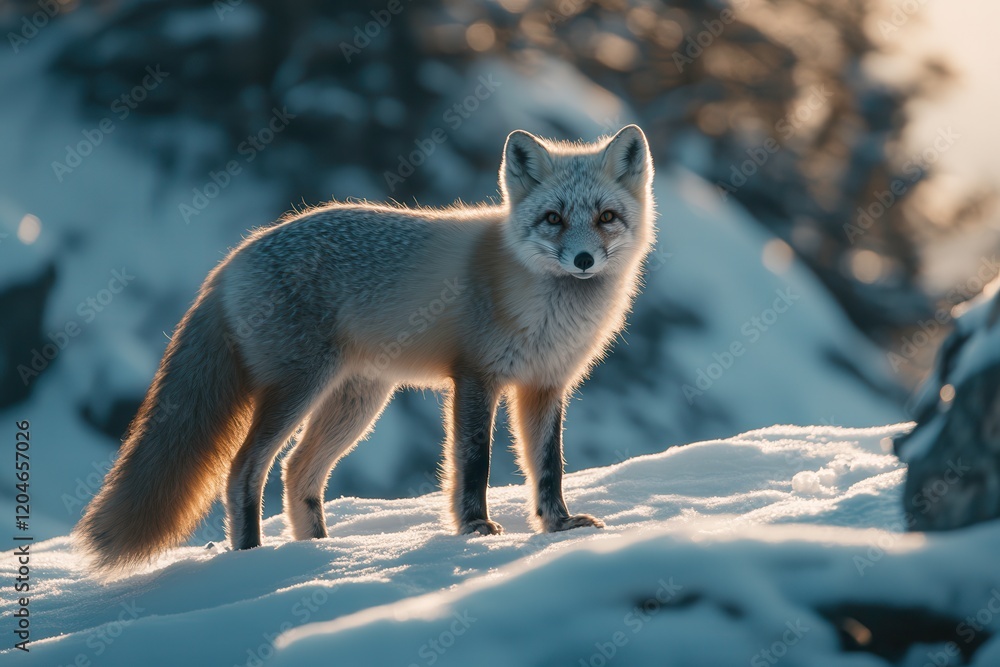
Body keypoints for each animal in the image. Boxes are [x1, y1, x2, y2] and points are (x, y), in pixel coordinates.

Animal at [75, 125, 656, 574]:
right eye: (553, 218)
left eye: (606, 217)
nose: (583, 260)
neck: (545, 305)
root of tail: (232, 258)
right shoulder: (476, 376)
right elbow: (474, 463)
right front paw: (474, 527)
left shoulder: (545, 385)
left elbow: (548, 467)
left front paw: (558, 526)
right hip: (299, 388)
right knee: (245, 468)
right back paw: (253, 558)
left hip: (358, 400)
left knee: (298, 471)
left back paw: (321, 555)